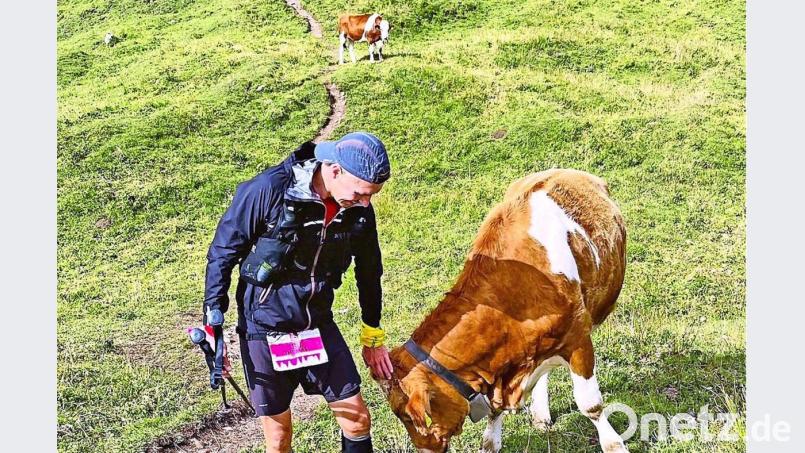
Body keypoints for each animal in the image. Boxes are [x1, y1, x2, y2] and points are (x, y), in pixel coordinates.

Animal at [375, 169, 628, 453]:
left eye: (412, 417)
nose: (424, 449)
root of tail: (561, 169)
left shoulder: (578, 339)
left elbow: (591, 404)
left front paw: (614, 444)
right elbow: (494, 412)